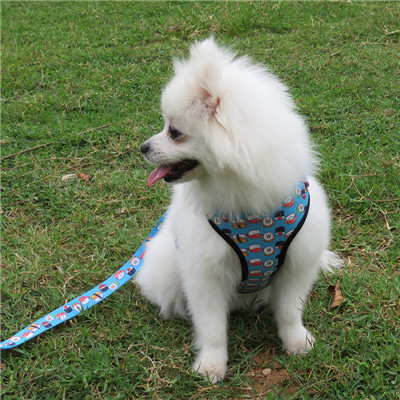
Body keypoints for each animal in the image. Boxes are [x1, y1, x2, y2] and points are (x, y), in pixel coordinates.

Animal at [136, 38, 341, 382]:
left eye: (173, 131)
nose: (143, 147)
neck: (250, 206)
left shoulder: (297, 264)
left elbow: (290, 311)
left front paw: (297, 342)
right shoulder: (204, 273)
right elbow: (212, 327)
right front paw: (211, 364)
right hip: (167, 266)